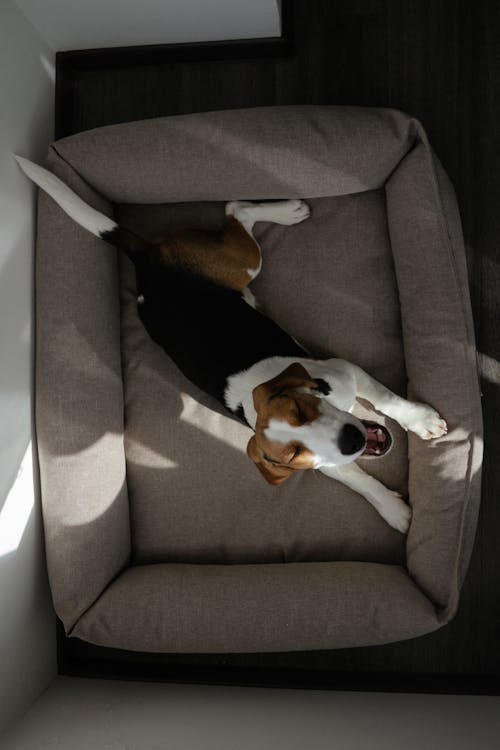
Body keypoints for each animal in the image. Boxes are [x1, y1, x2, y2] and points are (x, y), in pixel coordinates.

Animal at [14, 157, 450, 536]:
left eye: (301, 409)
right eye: (292, 456)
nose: (351, 441)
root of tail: (146, 259)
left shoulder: (346, 370)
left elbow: (390, 400)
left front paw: (421, 420)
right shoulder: (328, 462)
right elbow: (358, 480)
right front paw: (391, 508)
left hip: (244, 262)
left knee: (235, 209)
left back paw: (288, 211)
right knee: (234, 212)